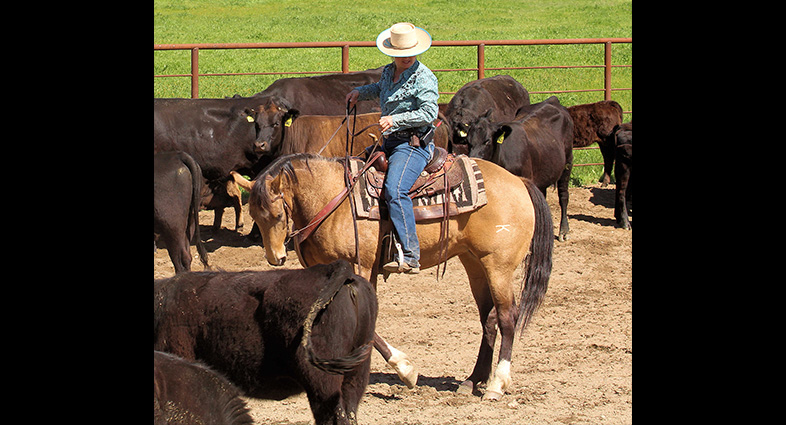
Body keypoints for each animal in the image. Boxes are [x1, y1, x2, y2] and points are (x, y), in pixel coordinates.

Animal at [231, 152, 552, 400]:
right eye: (255, 216)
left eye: (277, 215)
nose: (275, 258)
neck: (331, 199)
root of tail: (520, 182)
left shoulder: (359, 267)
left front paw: (406, 370)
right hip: (474, 263)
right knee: (489, 319)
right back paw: (473, 380)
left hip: (498, 266)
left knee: (507, 317)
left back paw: (497, 384)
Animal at [462, 97, 572, 242]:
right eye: (468, 142)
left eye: (487, 141)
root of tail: (552, 100)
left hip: (568, 162)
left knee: (563, 196)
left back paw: (564, 231)